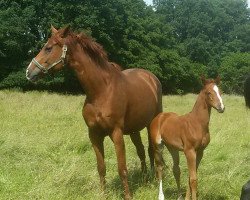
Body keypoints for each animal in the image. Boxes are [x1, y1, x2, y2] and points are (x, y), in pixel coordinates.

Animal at [25, 25, 162, 199]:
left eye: (48, 48)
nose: (29, 72)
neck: (101, 90)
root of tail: (151, 77)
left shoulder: (116, 133)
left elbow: (122, 168)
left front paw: (128, 196)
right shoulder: (94, 134)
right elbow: (101, 167)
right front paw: (103, 194)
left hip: (152, 123)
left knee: (153, 150)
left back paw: (155, 179)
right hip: (134, 129)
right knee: (142, 151)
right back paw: (145, 178)